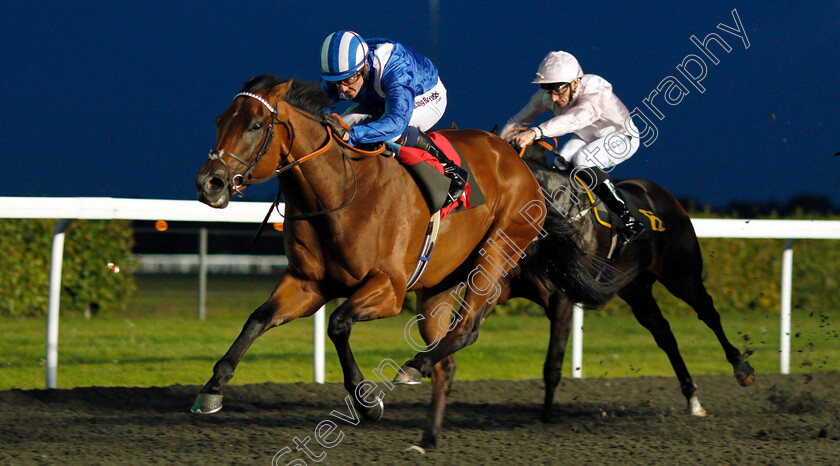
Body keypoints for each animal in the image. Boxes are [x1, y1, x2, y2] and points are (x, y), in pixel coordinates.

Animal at [193, 77, 612, 448]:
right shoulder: (307, 284)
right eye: (219, 121)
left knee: (467, 330)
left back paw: (414, 368)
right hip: (439, 287)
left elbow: (338, 324)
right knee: (446, 359)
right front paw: (212, 389)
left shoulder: (390, 288)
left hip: (496, 253)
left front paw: (365, 401)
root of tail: (520, 165)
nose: (209, 183)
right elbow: (258, 319)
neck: (341, 189)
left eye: (255, 125)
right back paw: (428, 437)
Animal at [412, 143, 756, 448]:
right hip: (636, 289)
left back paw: (741, 368)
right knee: (664, 334)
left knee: (708, 313)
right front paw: (424, 364)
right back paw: (692, 398)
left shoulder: (562, 298)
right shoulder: (500, 287)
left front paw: (547, 417)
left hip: (681, 275)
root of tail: (662, 195)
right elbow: (465, 330)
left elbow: (552, 363)